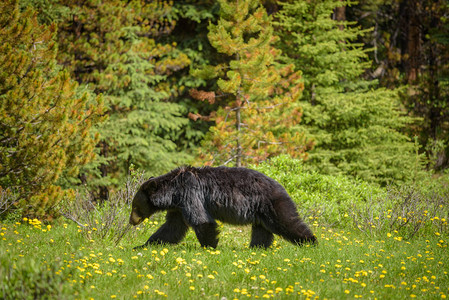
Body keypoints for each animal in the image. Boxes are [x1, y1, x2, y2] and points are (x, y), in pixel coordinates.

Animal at [128, 166, 316, 248]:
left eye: (135, 206)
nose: (131, 221)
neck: (173, 191)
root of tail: (280, 185)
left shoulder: (190, 193)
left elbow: (202, 220)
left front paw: (209, 247)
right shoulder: (178, 207)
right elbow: (171, 228)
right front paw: (143, 245)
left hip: (272, 203)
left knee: (287, 222)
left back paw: (310, 242)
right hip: (260, 212)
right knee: (261, 231)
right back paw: (256, 248)